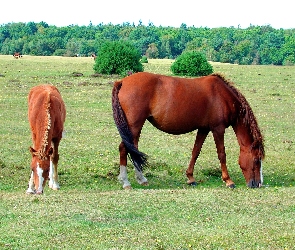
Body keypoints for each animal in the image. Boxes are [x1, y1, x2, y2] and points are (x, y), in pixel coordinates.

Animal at [113, 72, 266, 189]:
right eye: (256, 160)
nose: (258, 184)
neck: (222, 96)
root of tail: (122, 81)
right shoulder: (218, 129)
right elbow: (222, 154)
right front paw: (228, 181)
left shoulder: (203, 129)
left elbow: (195, 151)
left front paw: (190, 178)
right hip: (134, 125)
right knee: (124, 148)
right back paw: (126, 182)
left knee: (133, 148)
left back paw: (141, 179)